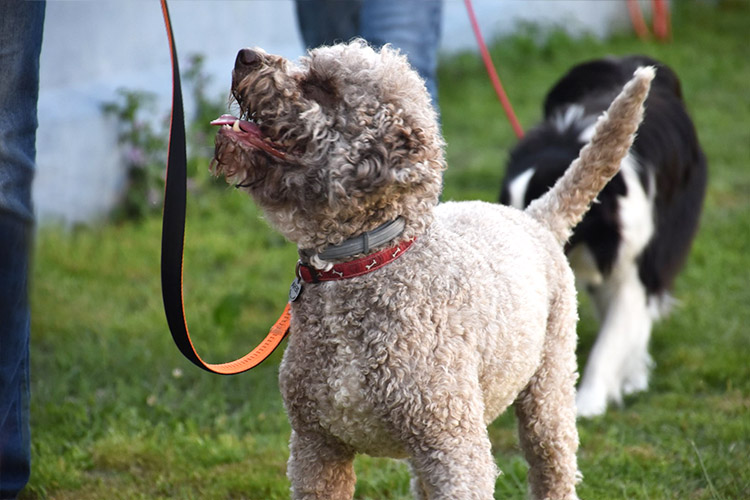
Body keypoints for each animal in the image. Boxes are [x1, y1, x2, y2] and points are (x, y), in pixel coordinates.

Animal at [210, 40, 652, 500]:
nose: (245, 55)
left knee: (554, 467)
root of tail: (535, 216)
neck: (365, 264)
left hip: (548, 392)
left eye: (322, 86)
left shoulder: (452, 445)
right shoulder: (316, 448)